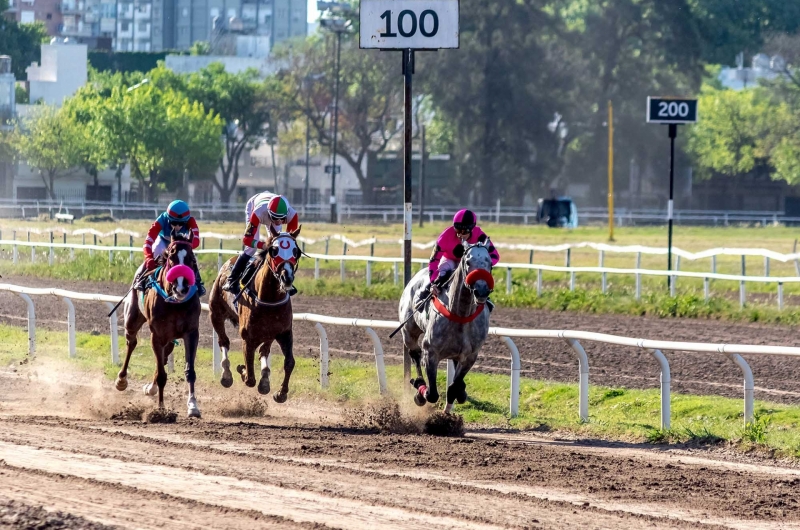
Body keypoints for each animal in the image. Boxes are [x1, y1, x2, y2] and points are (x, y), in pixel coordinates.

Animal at [115, 231, 203, 416]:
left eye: (192, 259)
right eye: (171, 257)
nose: (181, 288)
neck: (175, 303)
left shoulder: (191, 332)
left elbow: (190, 371)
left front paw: (193, 406)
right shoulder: (157, 335)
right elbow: (162, 375)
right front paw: (161, 409)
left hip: (170, 337)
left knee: (164, 354)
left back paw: (151, 387)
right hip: (132, 319)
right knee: (131, 342)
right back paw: (122, 380)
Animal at [208, 223, 302, 400]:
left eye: (296, 251)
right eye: (274, 250)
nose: (287, 277)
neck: (269, 299)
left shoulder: (284, 332)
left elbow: (290, 362)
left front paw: (281, 393)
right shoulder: (248, 338)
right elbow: (250, 377)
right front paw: (242, 370)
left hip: (269, 333)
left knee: (264, 351)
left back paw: (265, 380)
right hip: (215, 314)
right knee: (224, 342)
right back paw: (227, 375)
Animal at [398, 240, 494, 412]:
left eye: (489, 262)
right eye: (468, 262)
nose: (482, 290)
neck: (461, 314)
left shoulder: (470, 355)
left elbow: (454, 387)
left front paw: (459, 392)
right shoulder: (431, 352)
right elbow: (432, 394)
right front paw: (420, 392)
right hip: (409, 331)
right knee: (414, 353)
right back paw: (418, 383)